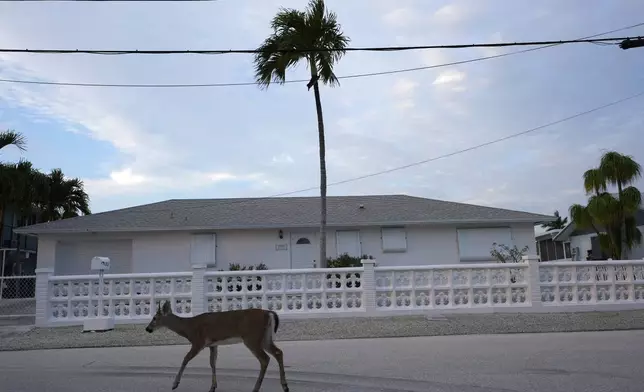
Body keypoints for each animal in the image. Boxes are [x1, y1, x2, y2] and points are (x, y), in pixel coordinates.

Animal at [146, 300, 290, 392]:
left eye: (154, 318)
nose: (147, 329)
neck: (188, 328)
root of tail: (269, 313)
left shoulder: (198, 342)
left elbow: (185, 359)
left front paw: (175, 384)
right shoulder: (212, 344)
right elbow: (212, 363)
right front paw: (213, 387)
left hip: (252, 338)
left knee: (265, 358)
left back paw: (256, 388)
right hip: (265, 338)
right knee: (278, 352)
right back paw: (285, 386)